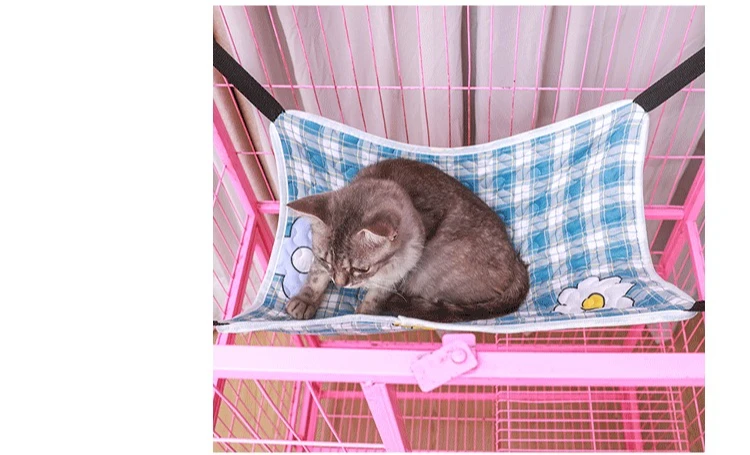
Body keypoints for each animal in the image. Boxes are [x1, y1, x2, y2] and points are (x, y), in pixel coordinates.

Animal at [285, 158, 529, 323]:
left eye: (361, 269)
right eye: (327, 260)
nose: (340, 284)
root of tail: (516, 261)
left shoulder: (399, 272)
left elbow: (377, 295)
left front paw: (365, 313)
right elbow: (316, 276)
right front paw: (305, 300)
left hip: (429, 269)